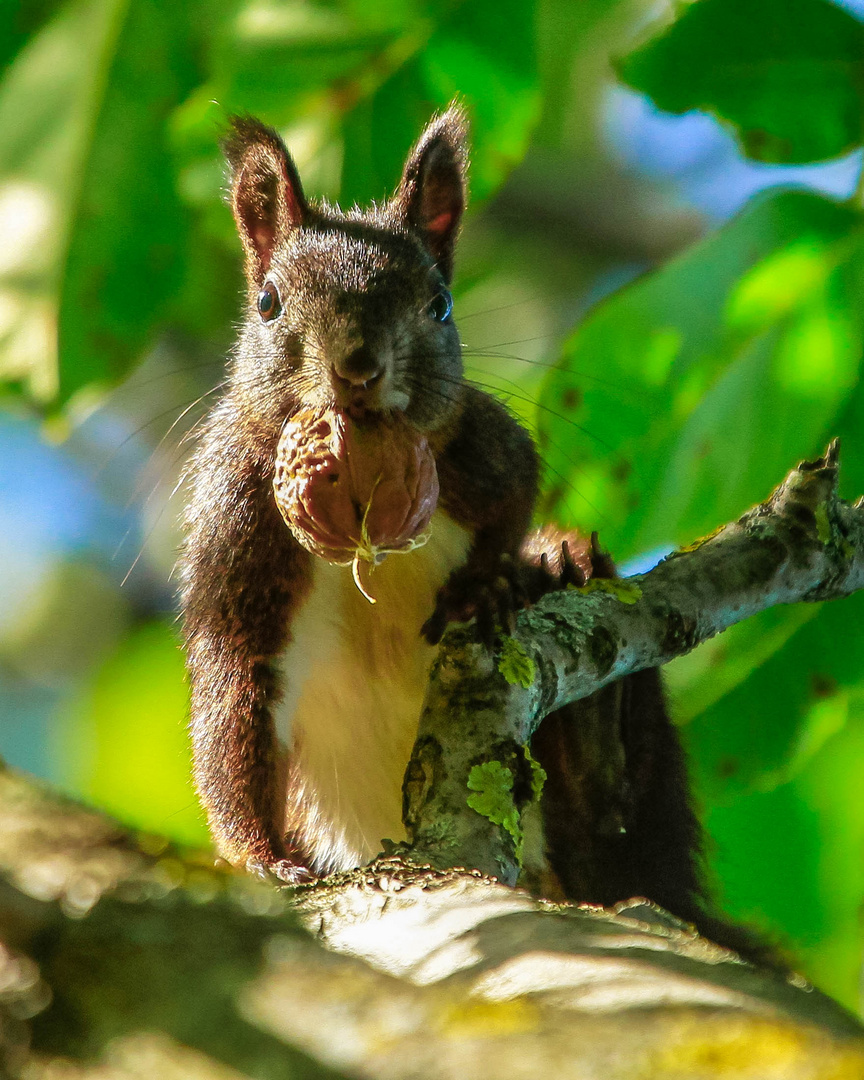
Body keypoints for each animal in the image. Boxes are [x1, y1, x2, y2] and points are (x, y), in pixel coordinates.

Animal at [179, 107, 773, 963]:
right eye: (268, 302)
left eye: (440, 304)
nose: (357, 366)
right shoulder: (237, 542)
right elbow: (230, 710)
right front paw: (259, 859)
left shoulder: (481, 450)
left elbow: (519, 491)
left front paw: (495, 578)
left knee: (614, 826)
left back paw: (572, 606)